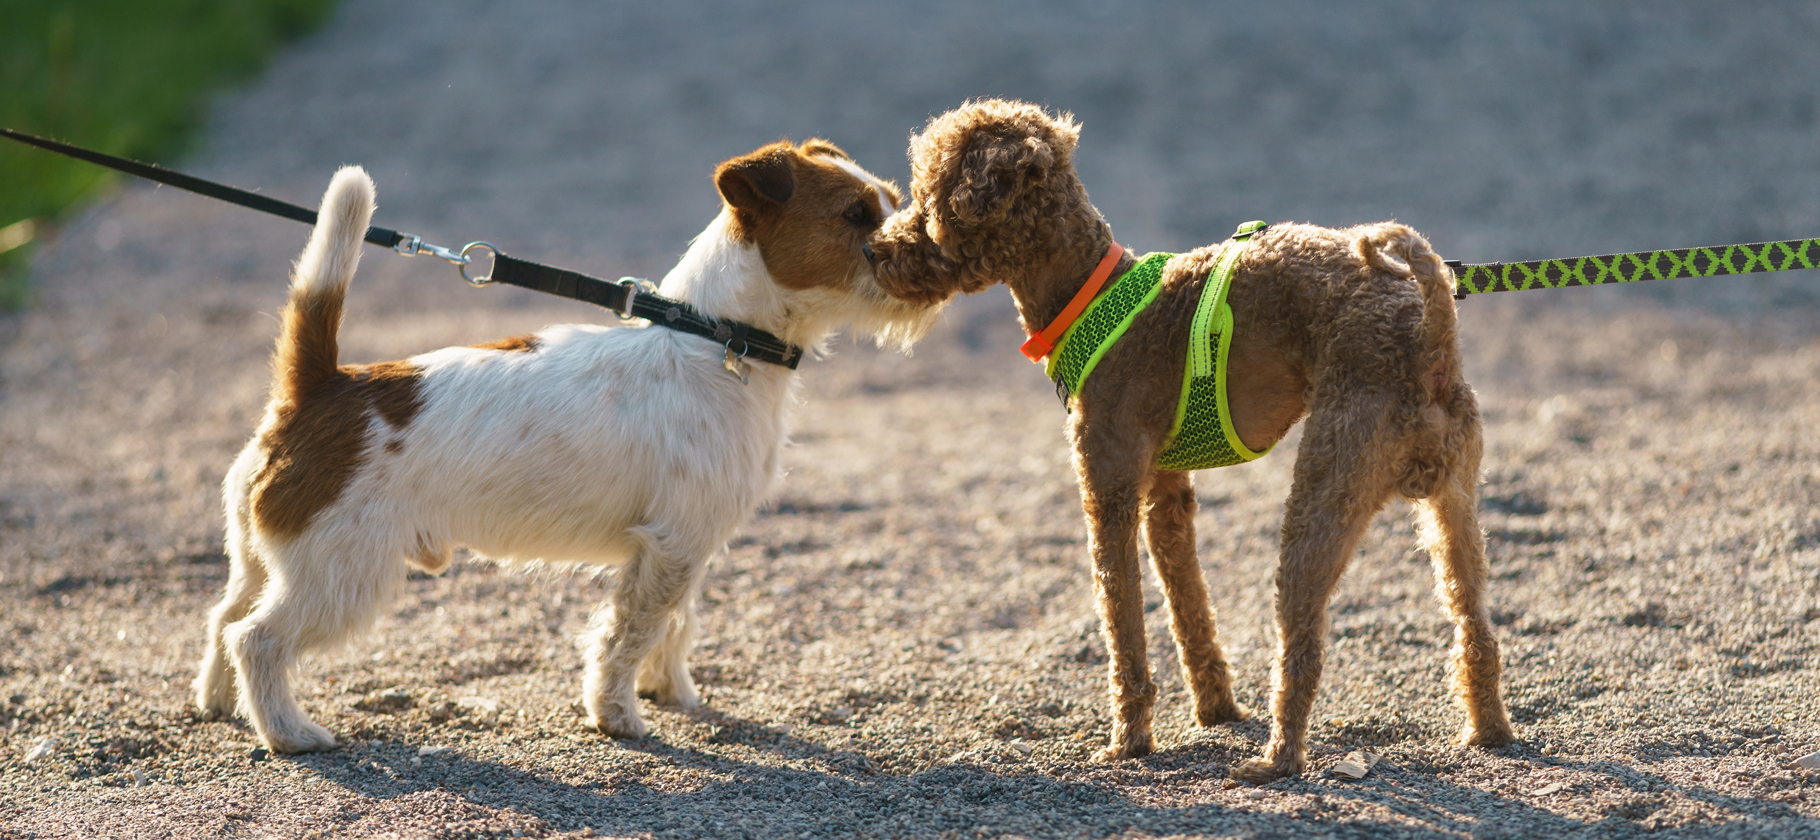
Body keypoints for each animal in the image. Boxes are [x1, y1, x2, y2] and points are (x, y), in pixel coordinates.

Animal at [195, 140, 939, 752]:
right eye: (856, 215)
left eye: (891, 200)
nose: (927, 252)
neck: (716, 338)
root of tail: (320, 387)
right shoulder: (672, 545)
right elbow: (627, 635)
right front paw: (619, 716)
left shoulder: (683, 547)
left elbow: (674, 625)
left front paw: (671, 692)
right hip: (340, 575)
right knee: (256, 639)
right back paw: (289, 733)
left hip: (268, 562)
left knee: (225, 615)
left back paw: (218, 703)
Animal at [873, 100, 1514, 781]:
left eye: (930, 200)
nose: (872, 248)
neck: (1086, 294)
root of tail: (1431, 339)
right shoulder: (1167, 494)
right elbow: (1190, 611)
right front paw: (1215, 711)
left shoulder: (1108, 491)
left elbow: (1122, 625)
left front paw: (1129, 740)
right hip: (1455, 511)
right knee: (1475, 627)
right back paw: (1488, 732)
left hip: (1323, 493)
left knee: (1302, 648)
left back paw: (1275, 760)